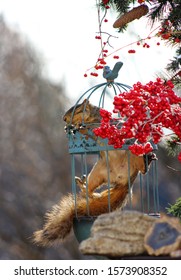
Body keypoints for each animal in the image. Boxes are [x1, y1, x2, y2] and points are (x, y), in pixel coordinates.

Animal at [33, 99, 156, 247]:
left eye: (78, 109)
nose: (64, 119)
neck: (91, 119)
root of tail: (126, 182)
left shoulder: (100, 124)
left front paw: (78, 126)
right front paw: (70, 128)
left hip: (133, 154)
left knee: (143, 169)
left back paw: (147, 159)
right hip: (97, 173)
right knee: (88, 191)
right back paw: (82, 184)